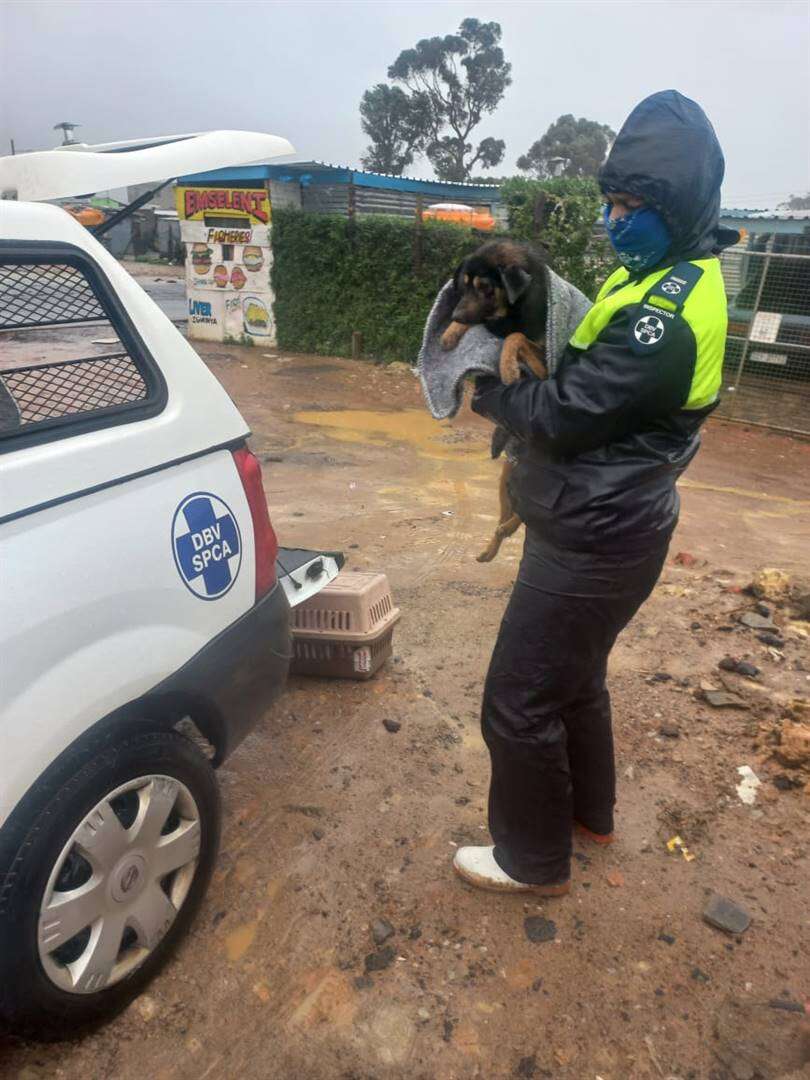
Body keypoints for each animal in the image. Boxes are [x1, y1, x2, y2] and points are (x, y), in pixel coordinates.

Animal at [438, 243, 552, 565]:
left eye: (485, 287)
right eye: (463, 285)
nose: (454, 312)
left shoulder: (545, 362)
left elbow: (516, 336)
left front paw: (509, 367)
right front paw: (451, 331)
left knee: (521, 518)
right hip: (504, 479)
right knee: (509, 518)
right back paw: (490, 548)